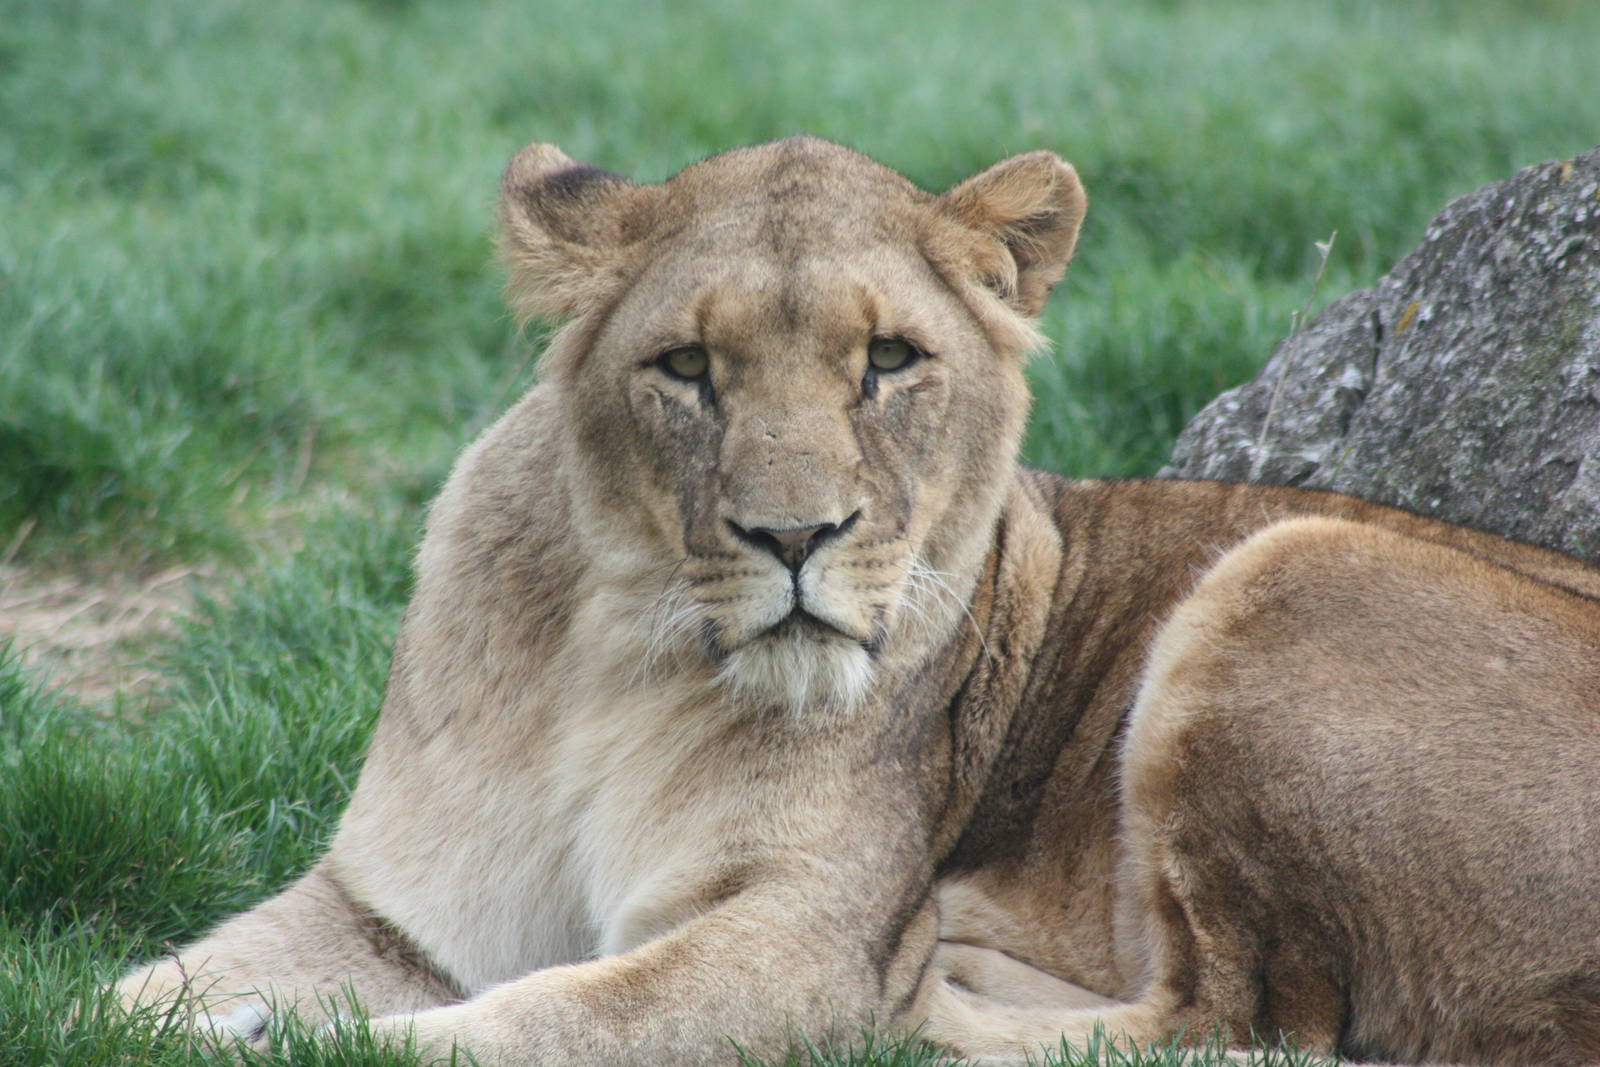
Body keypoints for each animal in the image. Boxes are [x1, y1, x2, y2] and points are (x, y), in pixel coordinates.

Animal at [118, 136, 1600, 1066]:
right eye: (686, 366)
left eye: (889, 358)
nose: (795, 534)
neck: (618, 653)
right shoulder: (392, 909)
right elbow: (145, 986)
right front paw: (166, 1012)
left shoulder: (801, 936)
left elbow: (541, 1018)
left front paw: (288, 1036)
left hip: (1294, 566)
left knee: (1240, 1018)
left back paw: (940, 994)